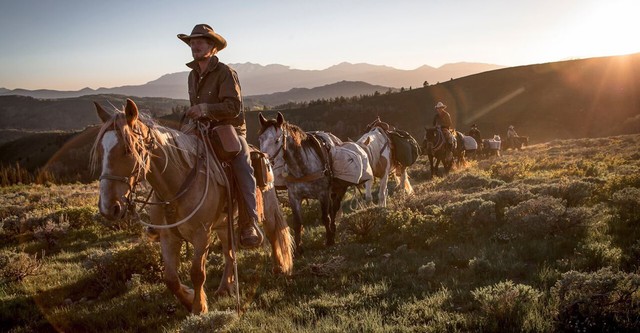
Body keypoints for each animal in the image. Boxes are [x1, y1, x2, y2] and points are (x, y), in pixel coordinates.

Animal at [92, 98, 292, 314]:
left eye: (128, 150)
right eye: (101, 151)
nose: (108, 208)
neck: (176, 187)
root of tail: (263, 155)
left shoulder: (201, 234)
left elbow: (197, 272)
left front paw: (199, 307)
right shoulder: (168, 236)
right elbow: (170, 278)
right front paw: (188, 299)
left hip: (267, 208)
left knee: (272, 233)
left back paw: (279, 268)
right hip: (224, 224)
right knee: (229, 253)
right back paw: (225, 287)